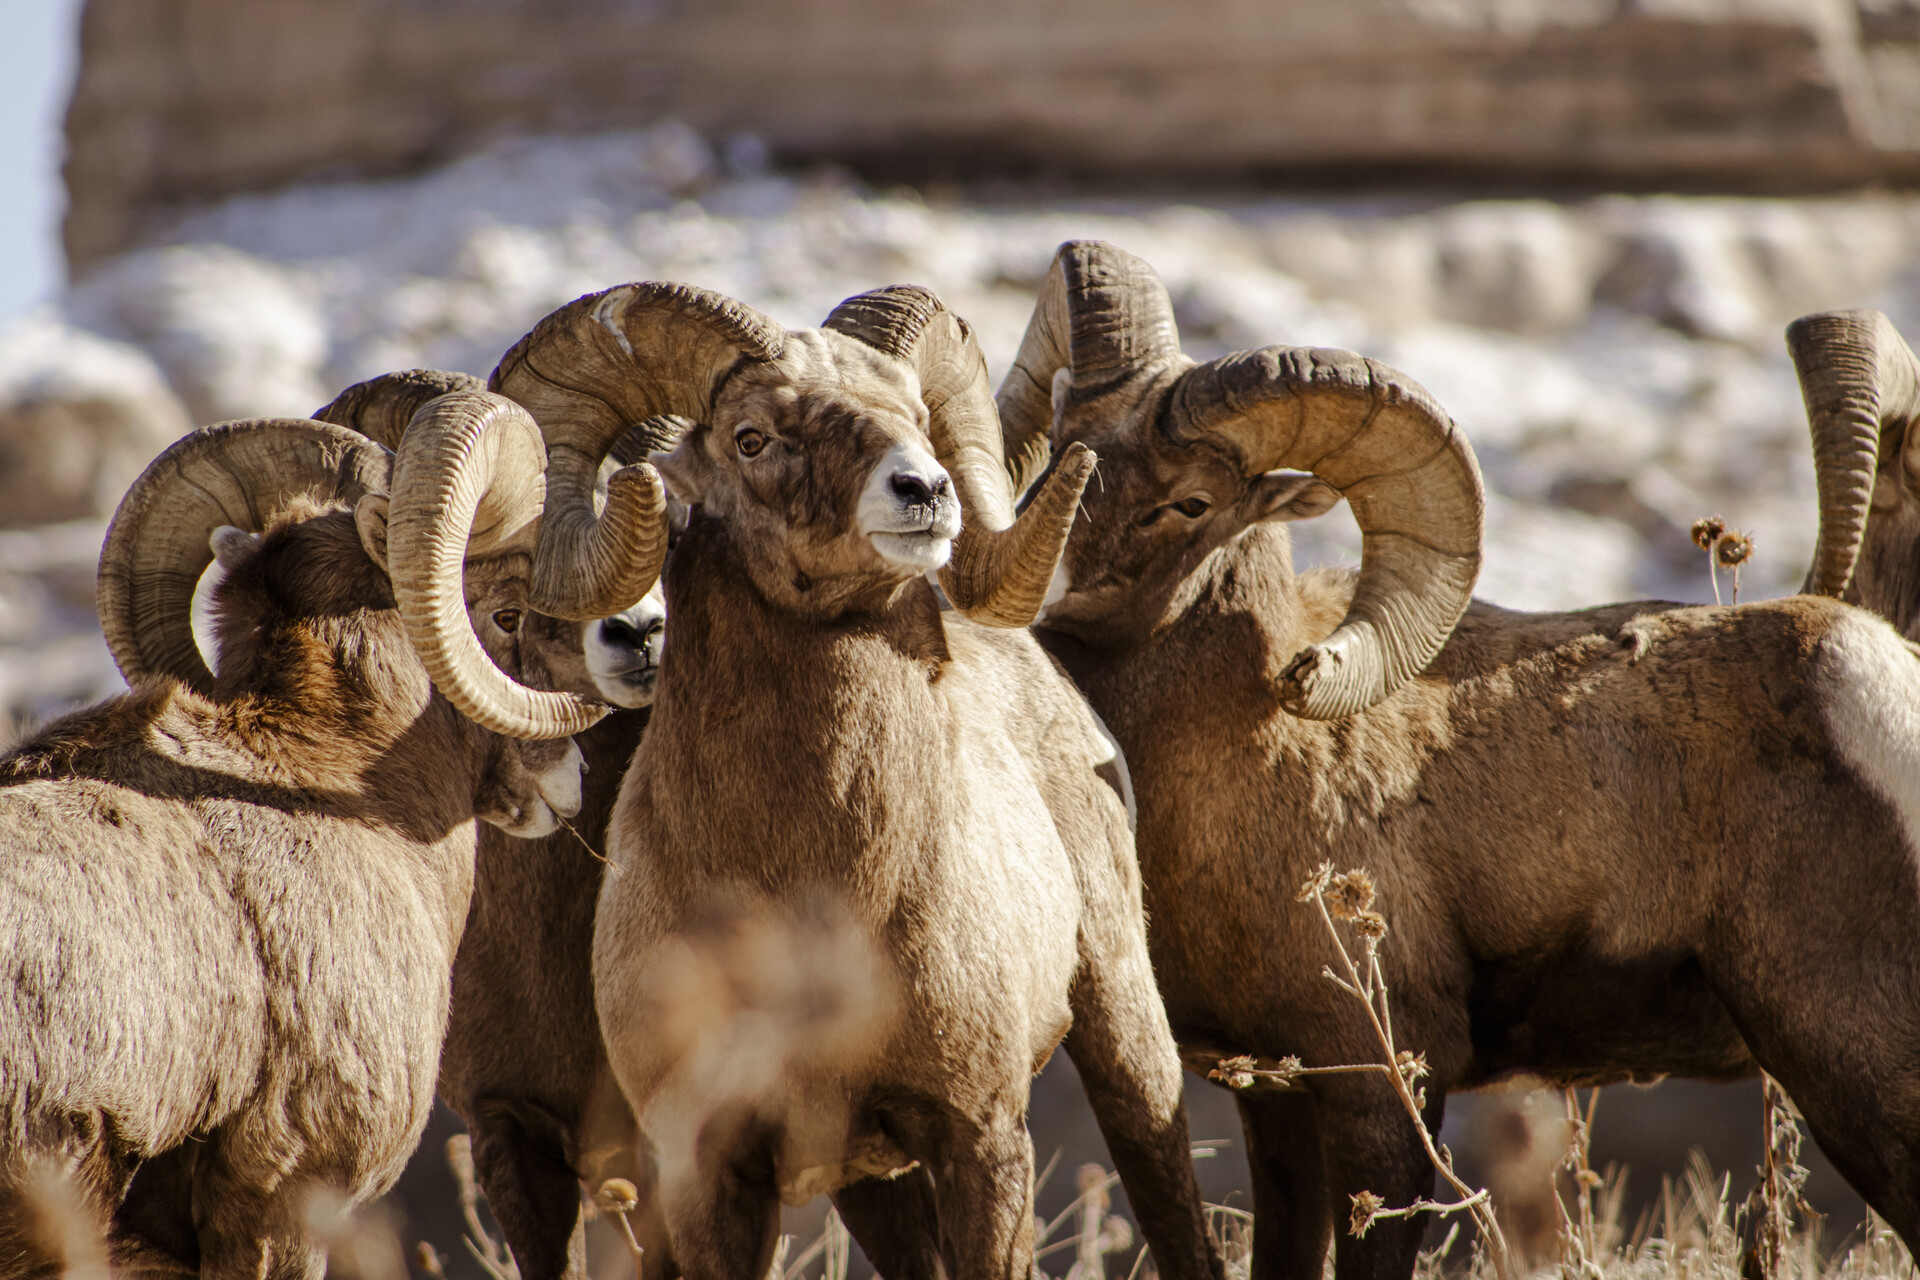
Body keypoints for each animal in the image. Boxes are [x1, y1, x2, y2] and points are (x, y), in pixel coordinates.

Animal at [480, 282, 1221, 1280]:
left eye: (916, 416)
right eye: (752, 437)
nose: (925, 491)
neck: (817, 899)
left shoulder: (982, 1137)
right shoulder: (711, 1174)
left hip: (1125, 1037)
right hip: (873, 1183)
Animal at [1013, 239, 1920, 1280]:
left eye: (1188, 502)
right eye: (1059, 438)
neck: (1247, 747)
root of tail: (1881, 683)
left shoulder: (1383, 1099)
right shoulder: (1275, 1100)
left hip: (1853, 1065)